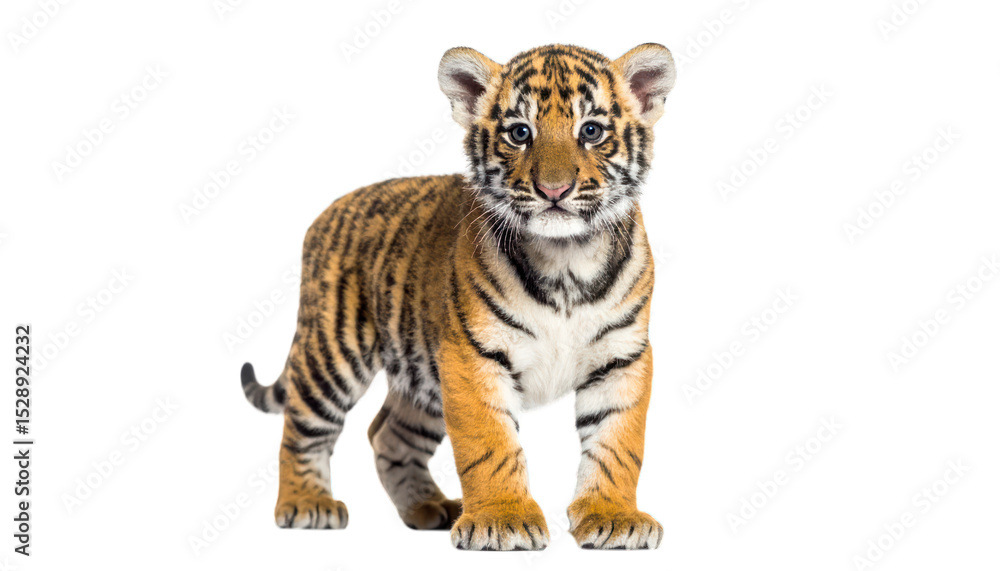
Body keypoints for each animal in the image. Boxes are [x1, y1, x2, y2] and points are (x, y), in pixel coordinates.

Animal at [240, 43, 676, 550]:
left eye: (591, 131)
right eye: (519, 133)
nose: (554, 190)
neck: (566, 258)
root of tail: (327, 211)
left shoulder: (622, 356)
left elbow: (617, 443)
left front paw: (613, 516)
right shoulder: (472, 355)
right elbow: (490, 444)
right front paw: (502, 520)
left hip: (422, 378)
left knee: (387, 435)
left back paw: (428, 508)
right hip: (333, 351)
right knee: (300, 427)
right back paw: (306, 503)